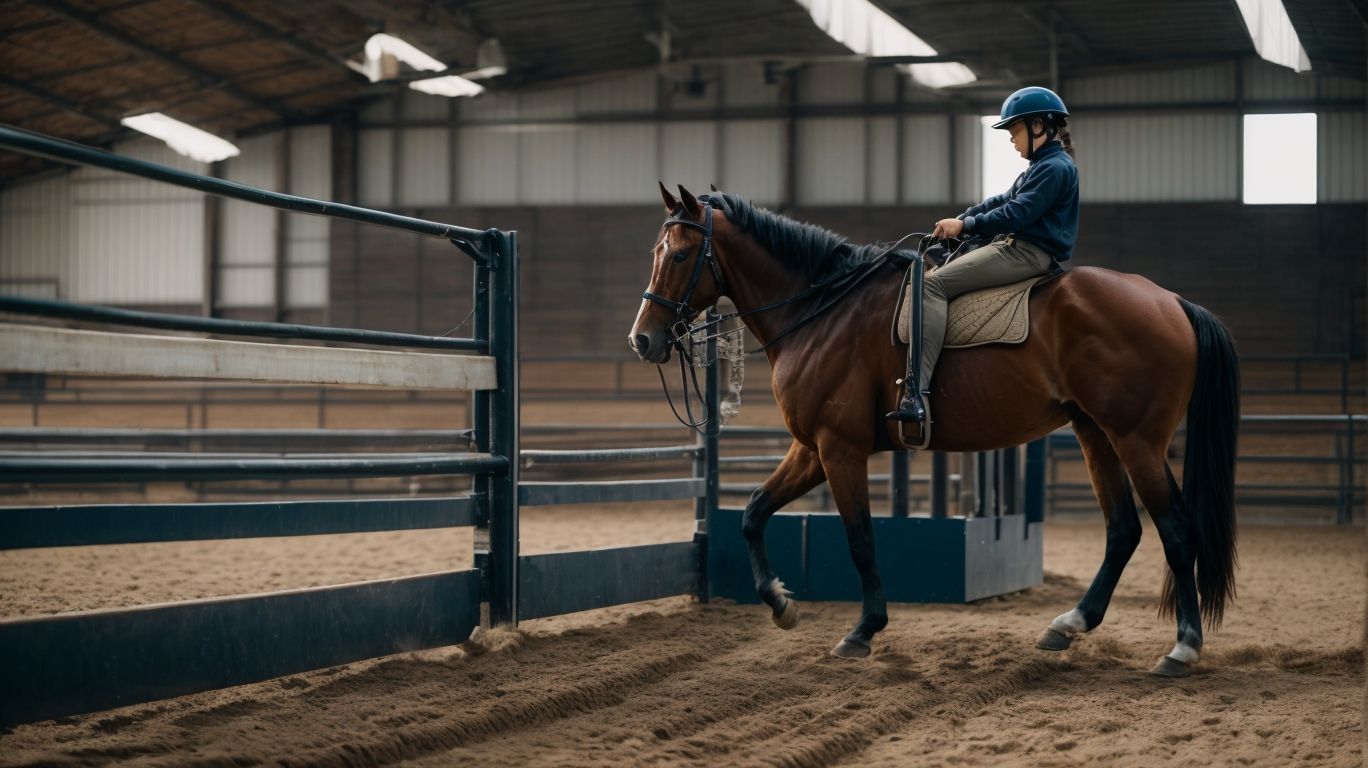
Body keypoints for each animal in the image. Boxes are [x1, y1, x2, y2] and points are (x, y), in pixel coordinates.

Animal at [629, 184, 1239, 677]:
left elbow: (861, 540)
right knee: (1123, 531)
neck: (821, 310)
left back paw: (1182, 648)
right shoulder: (811, 448)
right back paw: (1069, 625)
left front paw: (862, 631)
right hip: (1096, 435)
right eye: (655, 252)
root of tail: (1172, 301)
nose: (643, 339)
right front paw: (780, 604)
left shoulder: (839, 447)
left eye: (680, 254)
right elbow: (754, 512)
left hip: (1137, 440)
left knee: (1175, 531)